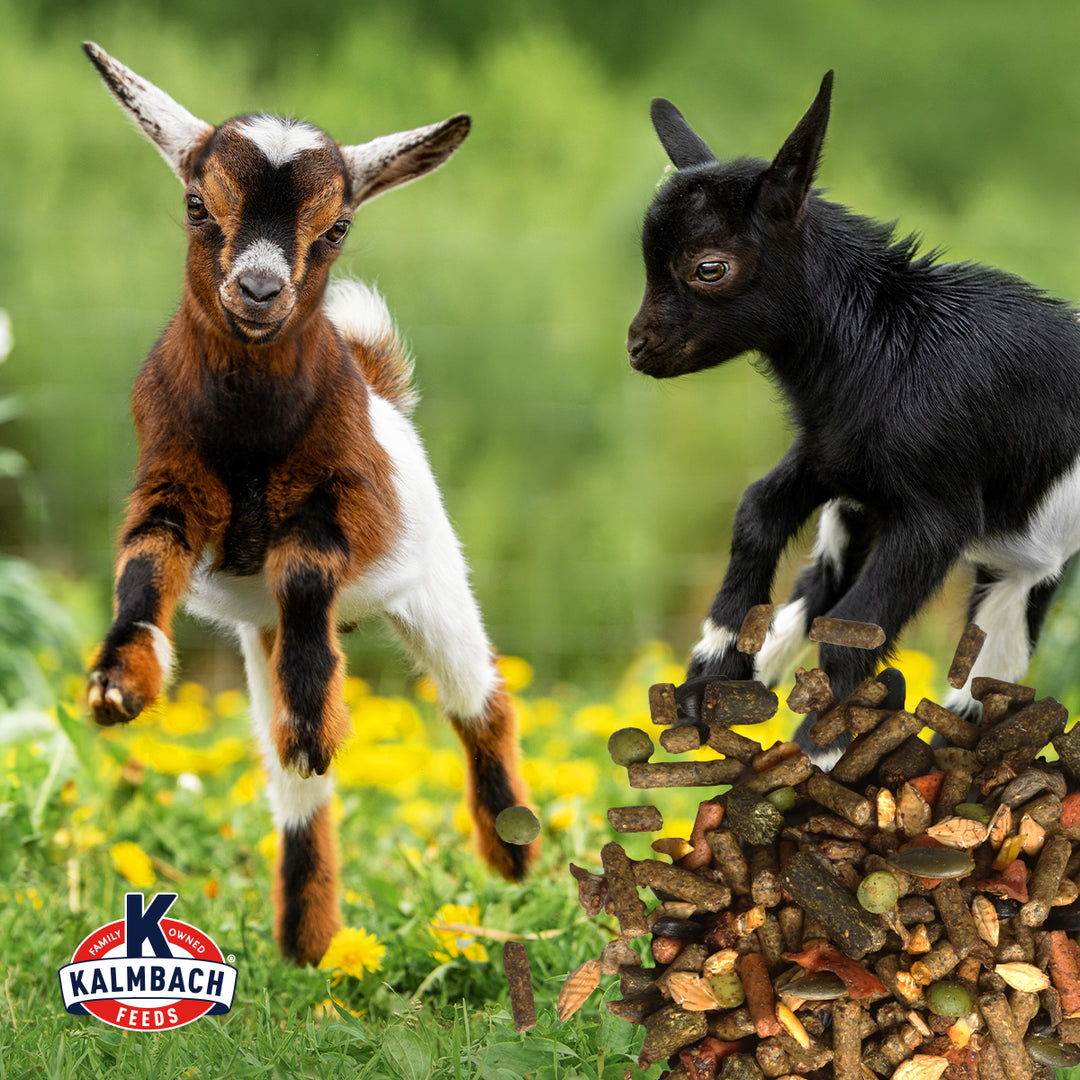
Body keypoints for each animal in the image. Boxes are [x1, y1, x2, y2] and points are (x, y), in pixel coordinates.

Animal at [82, 42, 536, 965]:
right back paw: (309, 940)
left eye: (337, 227)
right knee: (294, 791)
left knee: (481, 701)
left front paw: (319, 724)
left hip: (435, 585)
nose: (259, 290)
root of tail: (380, 385)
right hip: (256, 639)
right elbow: (142, 566)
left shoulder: (347, 500)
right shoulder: (172, 483)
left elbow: (303, 564)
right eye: (197, 205)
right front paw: (120, 684)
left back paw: (510, 850)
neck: (254, 429)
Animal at [627, 72, 1080, 754]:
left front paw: (823, 756)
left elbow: (853, 633)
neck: (890, 342)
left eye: (709, 267)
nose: (637, 348)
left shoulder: (937, 515)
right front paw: (707, 682)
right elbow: (757, 513)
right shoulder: (833, 462)